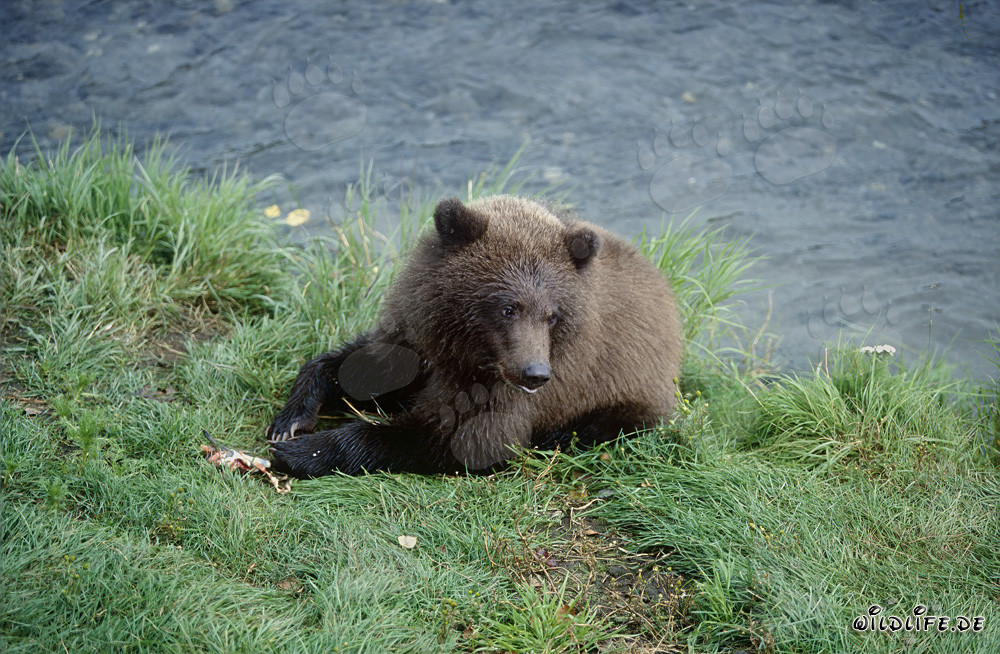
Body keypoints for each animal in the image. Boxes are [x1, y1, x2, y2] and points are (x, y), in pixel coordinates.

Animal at [267, 195, 682, 477]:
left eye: (552, 315)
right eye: (508, 308)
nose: (535, 374)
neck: (464, 349)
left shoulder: (508, 391)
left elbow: (461, 439)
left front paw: (304, 451)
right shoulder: (416, 338)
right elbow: (361, 366)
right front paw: (290, 421)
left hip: (627, 392)